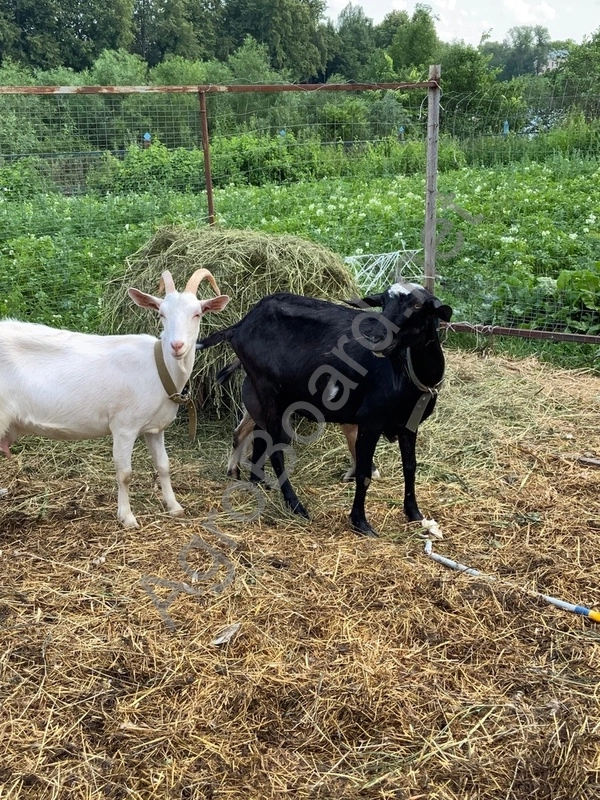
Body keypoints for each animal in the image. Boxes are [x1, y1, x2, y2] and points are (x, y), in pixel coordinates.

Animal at [0, 270, 230, 528]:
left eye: (197, 314)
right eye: (161, 314)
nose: (177, 345)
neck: (157, 367)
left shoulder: (155, 428)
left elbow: (164, 465)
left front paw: (174, 507)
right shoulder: (124, 427)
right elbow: (125, 473)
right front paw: (127, 517)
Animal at [198, 282, 451, 537]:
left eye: (417, 306)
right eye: (383, 303)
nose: (377, 339)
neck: (405, 372)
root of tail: (241, 325)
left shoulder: (409, 425)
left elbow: (410, 467)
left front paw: (414, 513)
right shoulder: (370, 421)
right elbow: (363, 472)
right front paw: (360, 522)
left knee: (257, 438)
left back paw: (257, 482)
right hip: (267, 392)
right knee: (275, 450)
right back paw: (295, 505)